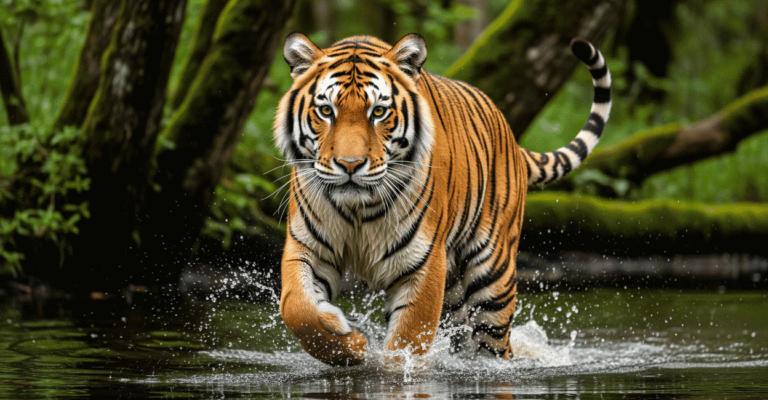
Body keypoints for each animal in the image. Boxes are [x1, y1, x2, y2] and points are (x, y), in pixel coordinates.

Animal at [274, 33, 611, 366]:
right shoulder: (306, 247)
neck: (357, 208)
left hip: (493, 280)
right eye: (326, 111)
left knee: (497, 346)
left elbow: (406, 343)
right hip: (454, 290)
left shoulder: (422, 264)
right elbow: (297, 309)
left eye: (379, 112)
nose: (349, 165)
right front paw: (349, 343)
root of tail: (513, 140)